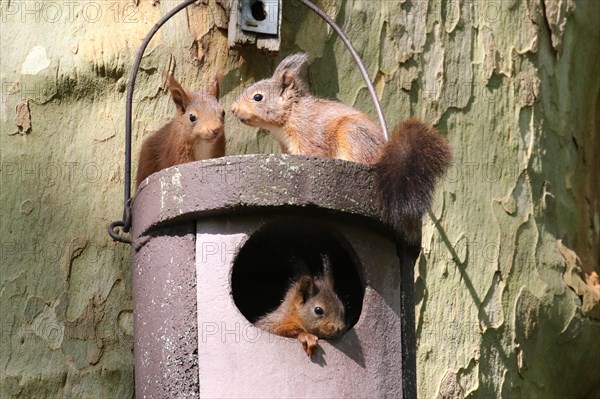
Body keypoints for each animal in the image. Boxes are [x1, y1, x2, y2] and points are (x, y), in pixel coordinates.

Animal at [232, 53, 452, 244]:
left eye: (258, 97)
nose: (233, 110)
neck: (291, 114)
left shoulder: (309, 135)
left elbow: (312, 152)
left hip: (350, 134)